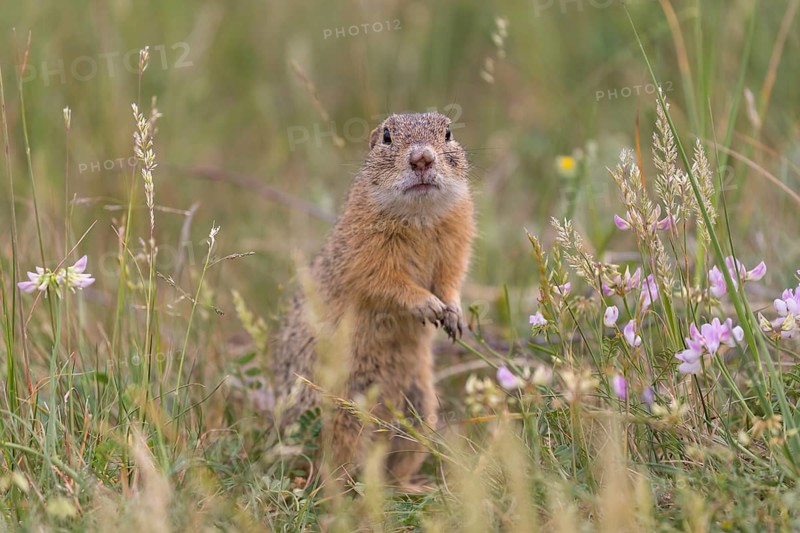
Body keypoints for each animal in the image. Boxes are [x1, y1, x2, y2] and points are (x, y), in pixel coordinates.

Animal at [272, 112, 474, 483]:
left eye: (448, 132)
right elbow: (384, 281)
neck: (420, 217)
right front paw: (426, 304)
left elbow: (452, 276)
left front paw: (453, 313)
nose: (421, 158)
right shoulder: (365, 247)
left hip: (419, 408)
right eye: (386, 136)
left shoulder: (458, 234)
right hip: (342, 409)